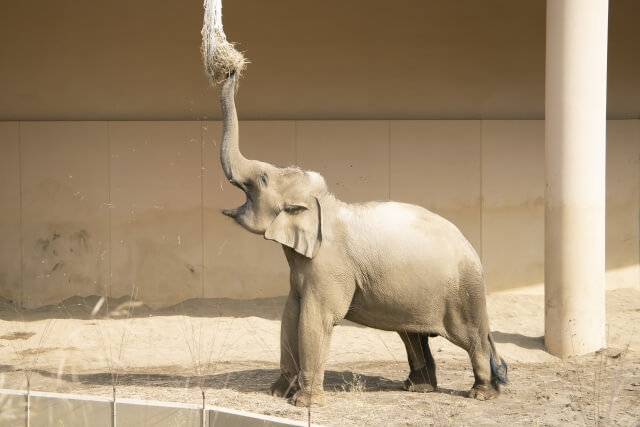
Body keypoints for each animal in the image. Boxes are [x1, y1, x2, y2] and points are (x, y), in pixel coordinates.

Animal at [218, 74, 508, 408]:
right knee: (412, 334)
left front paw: (304, 404)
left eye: (263, 179)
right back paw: (417, 387)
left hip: (464, 293)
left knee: (472, 337)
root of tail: (471, 247)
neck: (325, 206)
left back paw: (480, 394)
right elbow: (290, 315)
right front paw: (277, 393)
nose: (230, 73)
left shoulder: (329, 268)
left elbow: (315, 320)